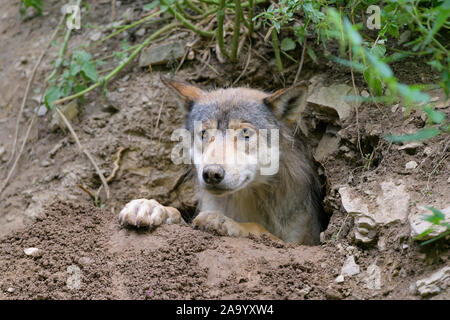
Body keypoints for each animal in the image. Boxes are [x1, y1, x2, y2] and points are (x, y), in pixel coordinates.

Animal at [119, 77, 326, 245]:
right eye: (204, 133)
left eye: (245, 133)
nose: (212, 174)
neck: (247, 200)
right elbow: (177, 213)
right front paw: (150, 206)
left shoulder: (301, 243)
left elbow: (259, 229)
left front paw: (225, 222)